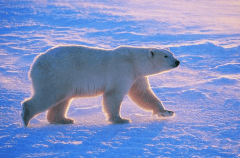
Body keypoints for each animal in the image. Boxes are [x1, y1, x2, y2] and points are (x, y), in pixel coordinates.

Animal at [21, 45, 180, 126]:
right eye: (166, 56)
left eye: (172, 53)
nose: (177, 61)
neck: (134, 61)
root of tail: (35, 63)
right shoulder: (122, 70)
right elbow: (113, 94)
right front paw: (120, 119)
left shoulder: (136, 76)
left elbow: (143, 94)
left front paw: (167, 111)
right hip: (57, 74)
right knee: (49, 95)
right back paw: (26, 116)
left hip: (64, 80)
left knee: (62, 99)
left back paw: (63, 120)